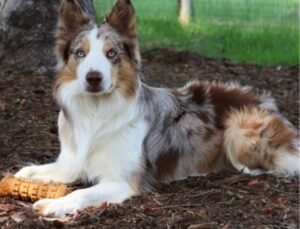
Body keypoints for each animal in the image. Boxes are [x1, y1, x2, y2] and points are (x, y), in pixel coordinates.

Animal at [15, 0, 298, 216]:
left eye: (111, 53)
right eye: (80, 53)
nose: (93, 78)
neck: (97, 113)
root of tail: (265, 99)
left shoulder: (122, 181)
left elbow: (83, 193)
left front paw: (55, 203)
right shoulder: (71, 162)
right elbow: (44, 169)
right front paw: (25, 173)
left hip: (239, 128)